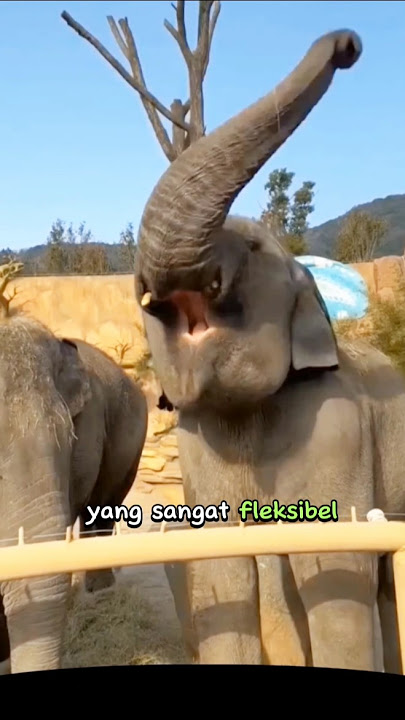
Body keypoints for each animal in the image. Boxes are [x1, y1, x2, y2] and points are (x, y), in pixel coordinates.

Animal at [133, 28, 405, 671]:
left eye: (255, 248)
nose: (348, 44)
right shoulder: (197, 448)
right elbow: (221, 572)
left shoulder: (336, 428)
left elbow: (334, 568)